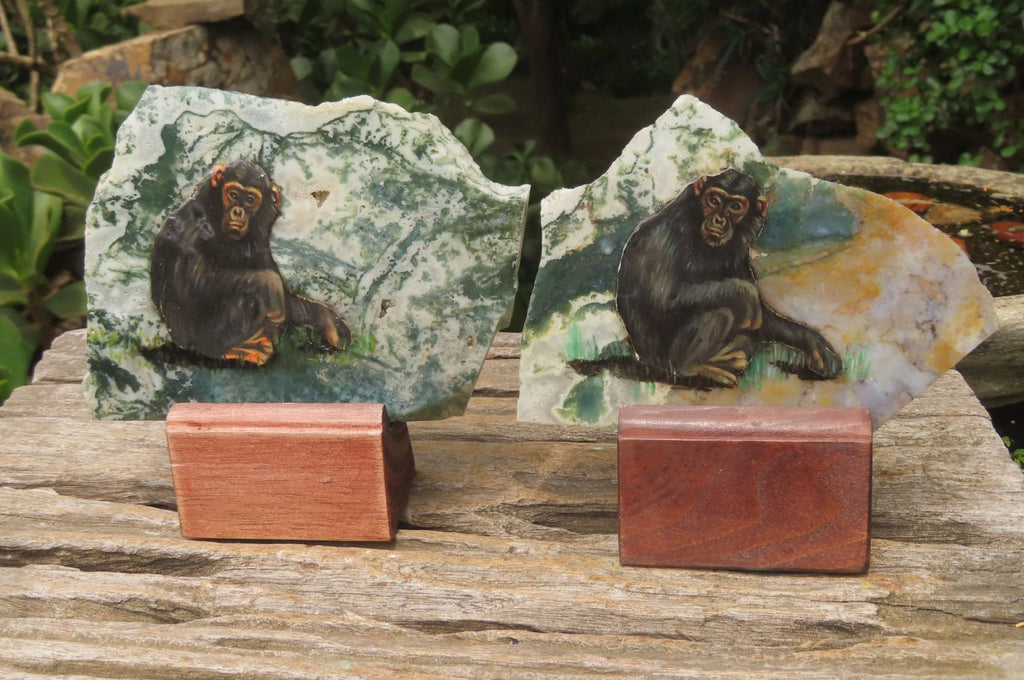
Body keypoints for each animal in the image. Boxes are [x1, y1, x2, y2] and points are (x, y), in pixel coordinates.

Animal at [150, 160, 351, 366]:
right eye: (233, 195)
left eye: (249, 200)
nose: (237, 212)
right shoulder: (194, 226)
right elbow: (196, 281)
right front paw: (270, 284)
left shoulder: (261, 230)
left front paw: (328, 321)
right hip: (204, 339)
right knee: (247, 298)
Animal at [613, 168, 842, 387]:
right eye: (714, 200)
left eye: (735, 206)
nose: (718, 219)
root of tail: (643, 358)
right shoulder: (667, 233)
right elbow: (662, 297)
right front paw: (744, 293)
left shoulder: (740, 251)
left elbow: (763, 319)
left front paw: (815, 345)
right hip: (662, 359)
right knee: (721, 312)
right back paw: (692, 366)